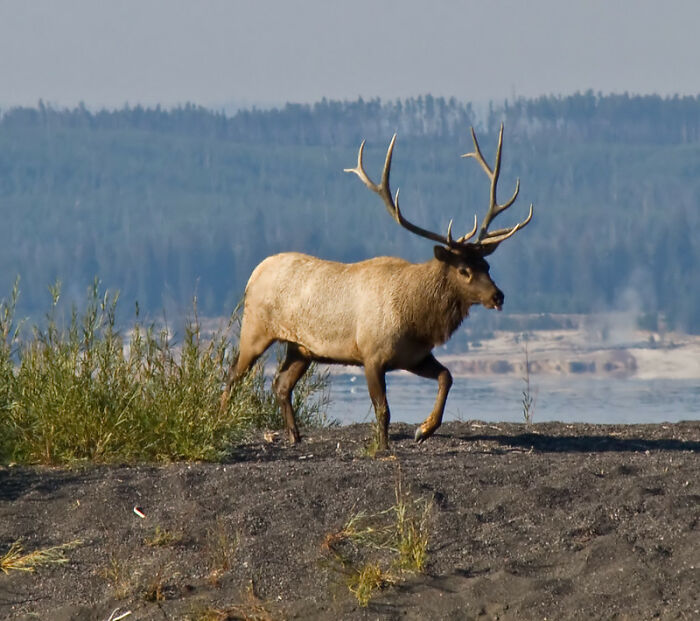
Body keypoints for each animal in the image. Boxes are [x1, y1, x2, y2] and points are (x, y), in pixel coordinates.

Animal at [221, 122, 532, 450]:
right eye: (463, 270)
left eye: (486, 266)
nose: (498, 296)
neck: (416, 317)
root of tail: (254, 273)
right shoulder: (371, 355)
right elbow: (383, 408)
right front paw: (382, 447)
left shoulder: (414, 355)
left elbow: (446, 376)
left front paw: (424, 429)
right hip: (255, 328)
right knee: (232, 376)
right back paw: (220, 423)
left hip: (301, 348)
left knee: (280, 384)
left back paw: (295, 435)